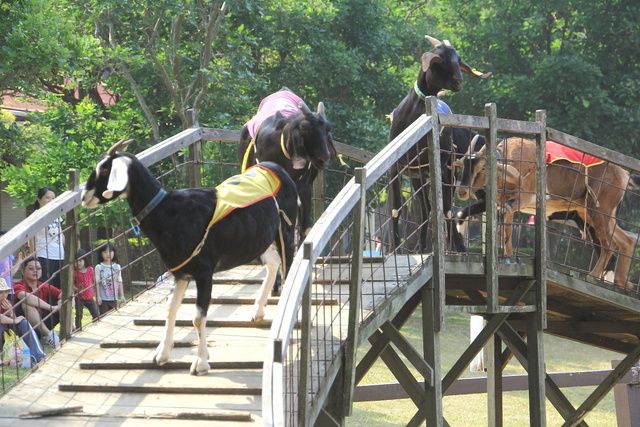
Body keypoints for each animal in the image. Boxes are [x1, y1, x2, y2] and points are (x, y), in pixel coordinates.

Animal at [82, 140, 298, 374]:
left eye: (105, 170)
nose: (84, 197)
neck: (170, 213)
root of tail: (276, 169)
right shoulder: (181, 273)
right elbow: (170, 310)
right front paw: (162, 355)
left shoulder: (204, 272)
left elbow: (197, 318)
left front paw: (201, 362)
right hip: (259, 239)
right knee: (274, 262)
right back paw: (258, 310)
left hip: (286, 228)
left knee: (289, 266)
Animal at [388, 35, 492, 252]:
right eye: (438, 60)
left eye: (458, 60)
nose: (458, 81)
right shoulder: (396, 169)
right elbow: (395, 210)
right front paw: (395, 250)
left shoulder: (444, 169)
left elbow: (446, 209)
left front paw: (458, 245)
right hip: (420, 177)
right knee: (426, 208)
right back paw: (422, 247)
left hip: (452, 173)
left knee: (446, 207)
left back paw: (455, 243)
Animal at [456, 138, 640, 290]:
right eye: (463, 166)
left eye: (482, 168)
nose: (462, 191)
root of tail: (625, 175)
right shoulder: (503, 202)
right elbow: (502, 223)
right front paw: (507, 256)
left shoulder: (523, 197)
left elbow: (505, 213)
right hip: (593, 213)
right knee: (627, 240)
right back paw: (623, 282)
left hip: (600, 210)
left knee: (609, 245)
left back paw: (593, 276)